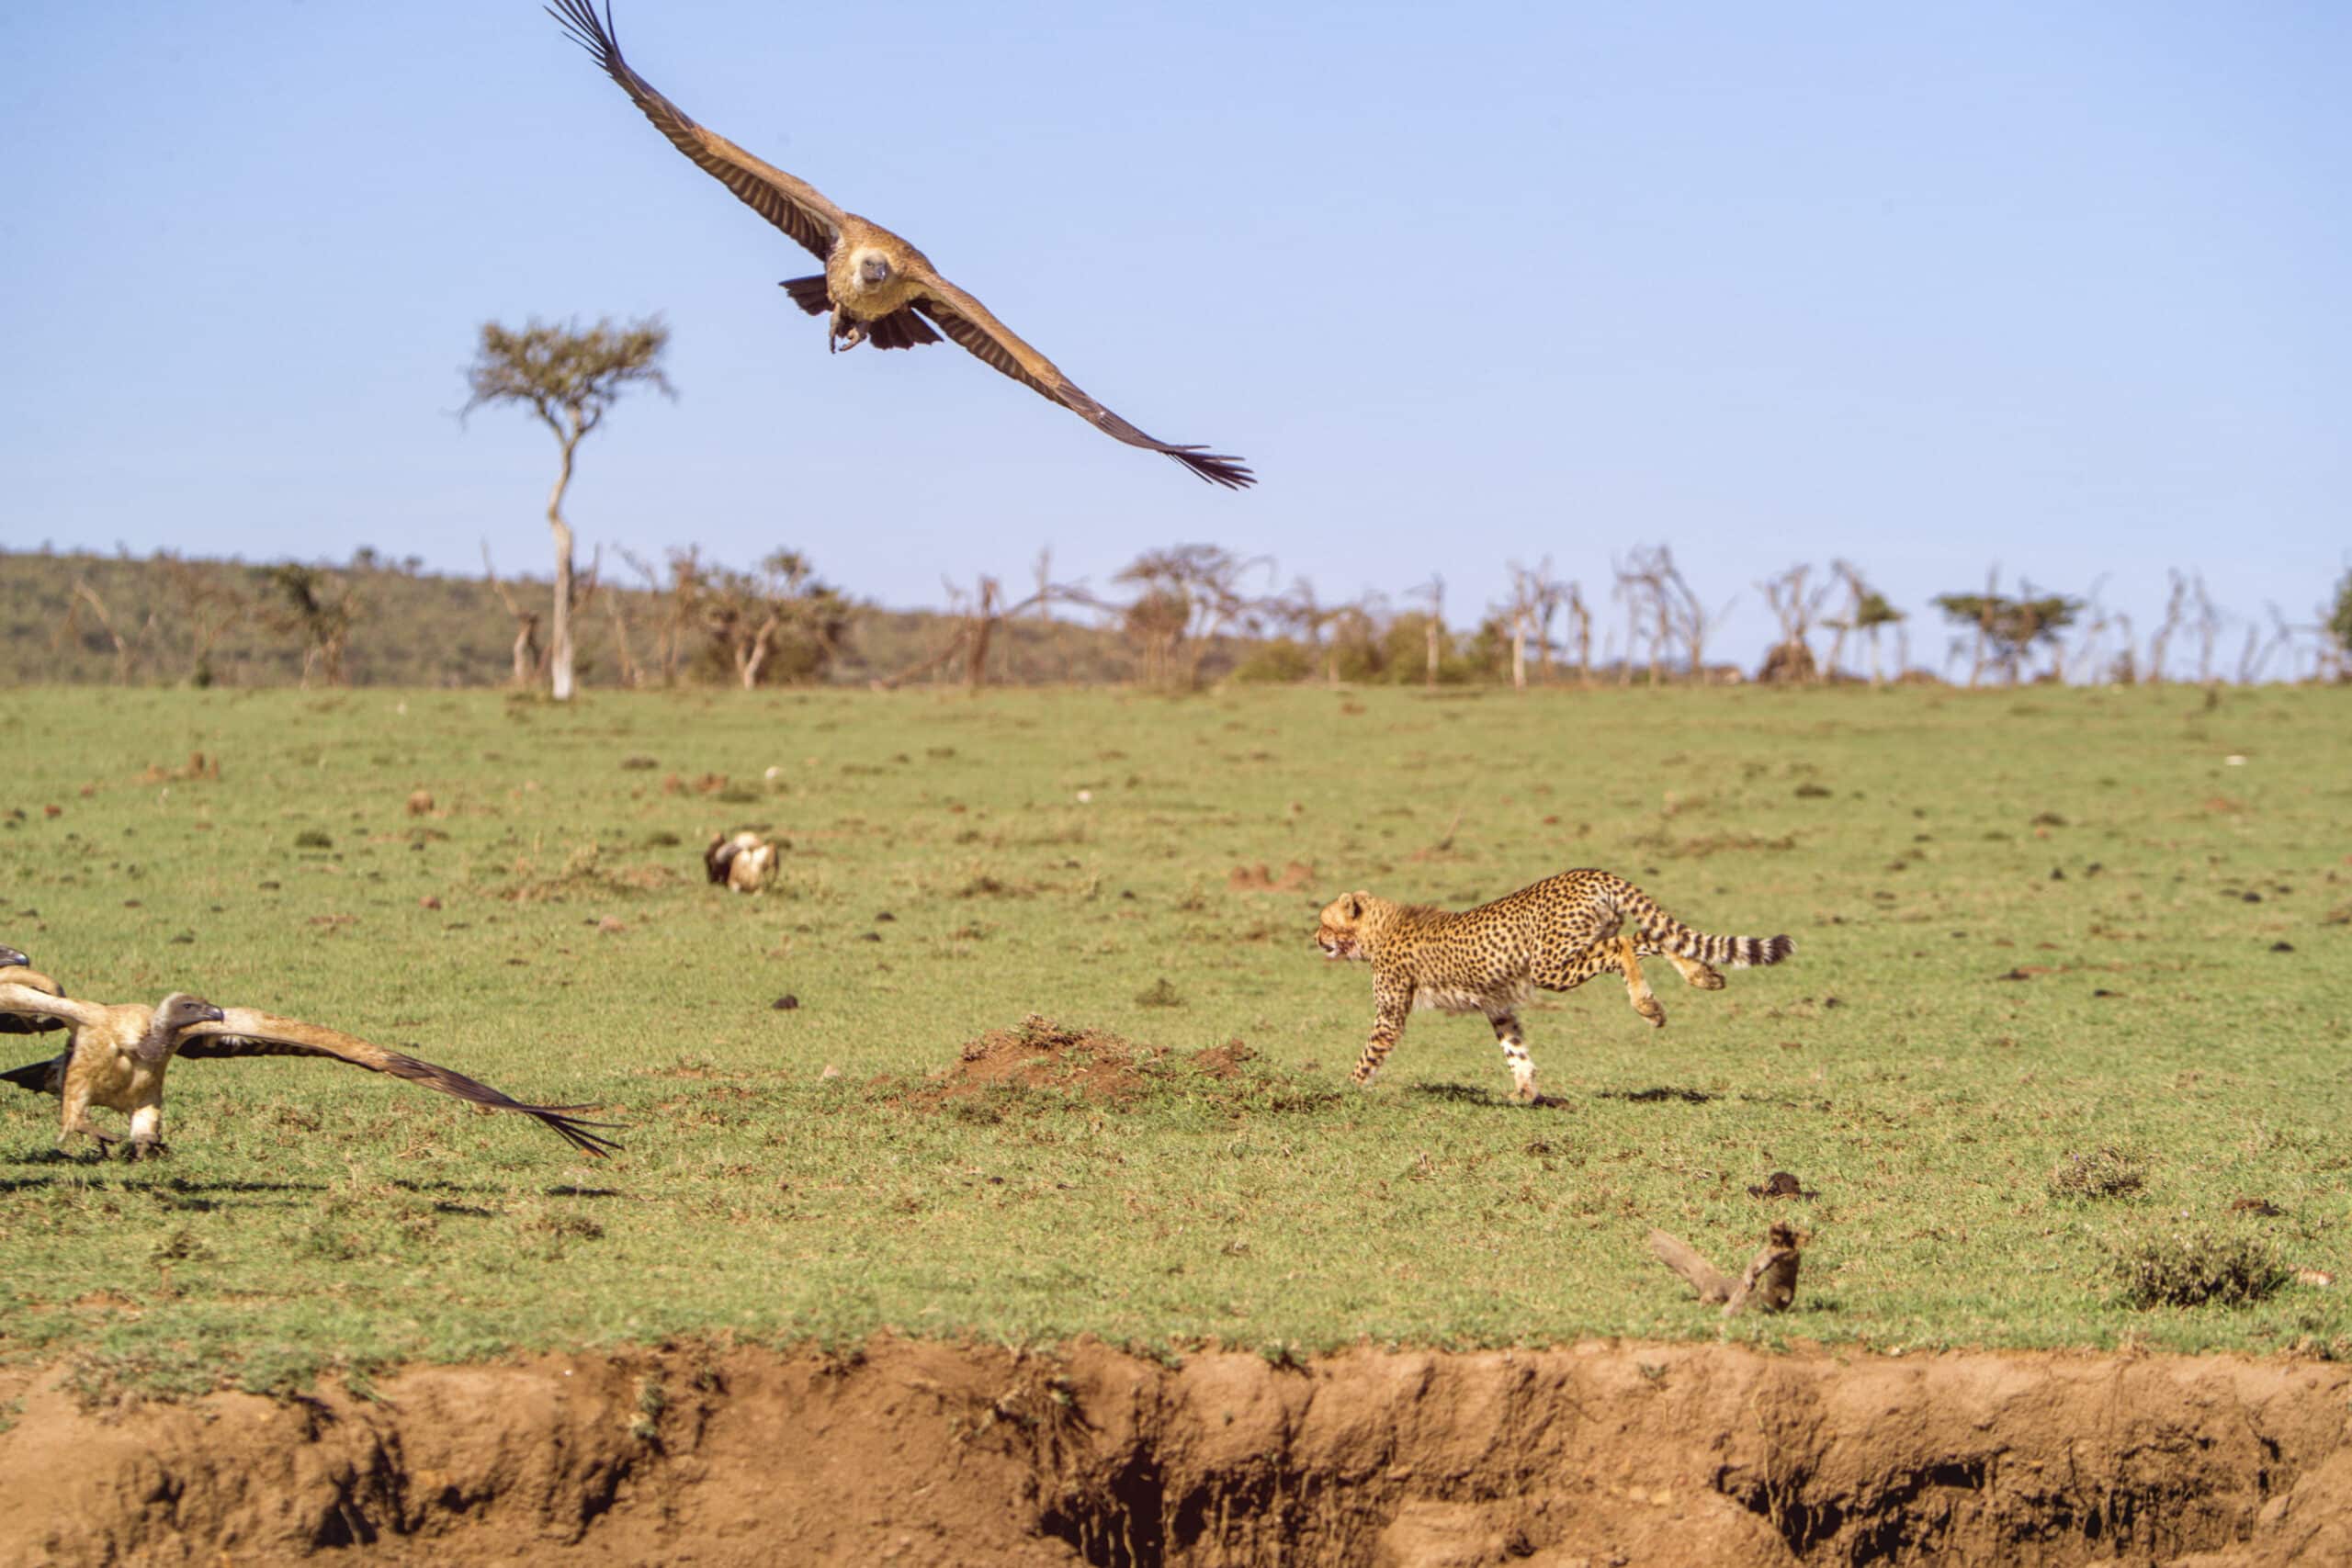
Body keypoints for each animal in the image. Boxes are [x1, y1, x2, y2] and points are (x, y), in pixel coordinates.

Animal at [1317, 869, 1787, 1104]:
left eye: (1324, 922)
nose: (1316, 939)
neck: (1380, 929)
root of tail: (1587, 871)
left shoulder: (1390, 1015)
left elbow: (1368, 1055)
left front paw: (1345, 1088)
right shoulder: (1497, 1006)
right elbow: (1514, 1048)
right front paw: (1526, 1091)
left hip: (1553, 964)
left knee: (1623, 946)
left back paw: (1648, 1004)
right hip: (1583, 943)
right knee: (1649, 936)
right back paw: (1702, 975)